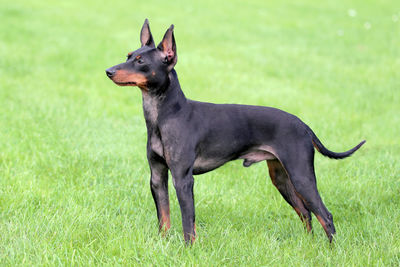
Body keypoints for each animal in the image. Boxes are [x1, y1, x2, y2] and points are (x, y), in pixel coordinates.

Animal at [105, 19, 366, 245]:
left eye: (140, 61)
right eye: (128, 56)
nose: (108, 71)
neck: (165, 115)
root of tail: (303, 125)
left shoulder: (183, 179)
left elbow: (188, 222)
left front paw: (188, 250)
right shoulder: (158, 177)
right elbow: (164, 218)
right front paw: (163, 244)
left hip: (301, 176)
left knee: (325, 215)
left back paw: (331, 250)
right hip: (281, 177)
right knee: (306, 213)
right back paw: (309, 245)